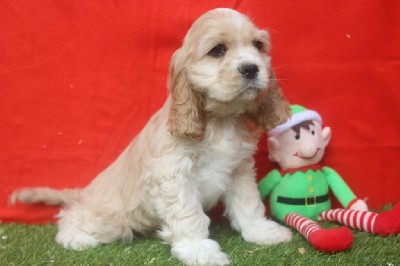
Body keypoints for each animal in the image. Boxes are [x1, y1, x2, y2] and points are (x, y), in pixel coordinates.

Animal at [10, 8, 292, 266]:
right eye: (218, 50)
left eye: (258, 45)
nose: (251, 69)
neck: (220, 120)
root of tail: (83, 193)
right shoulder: (174, 175)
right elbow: (189, 215)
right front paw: (199, 250)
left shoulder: (238, 169)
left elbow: (248, 203)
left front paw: (261, 230)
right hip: (111, 221)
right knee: (70, 217)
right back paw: (74, 237)